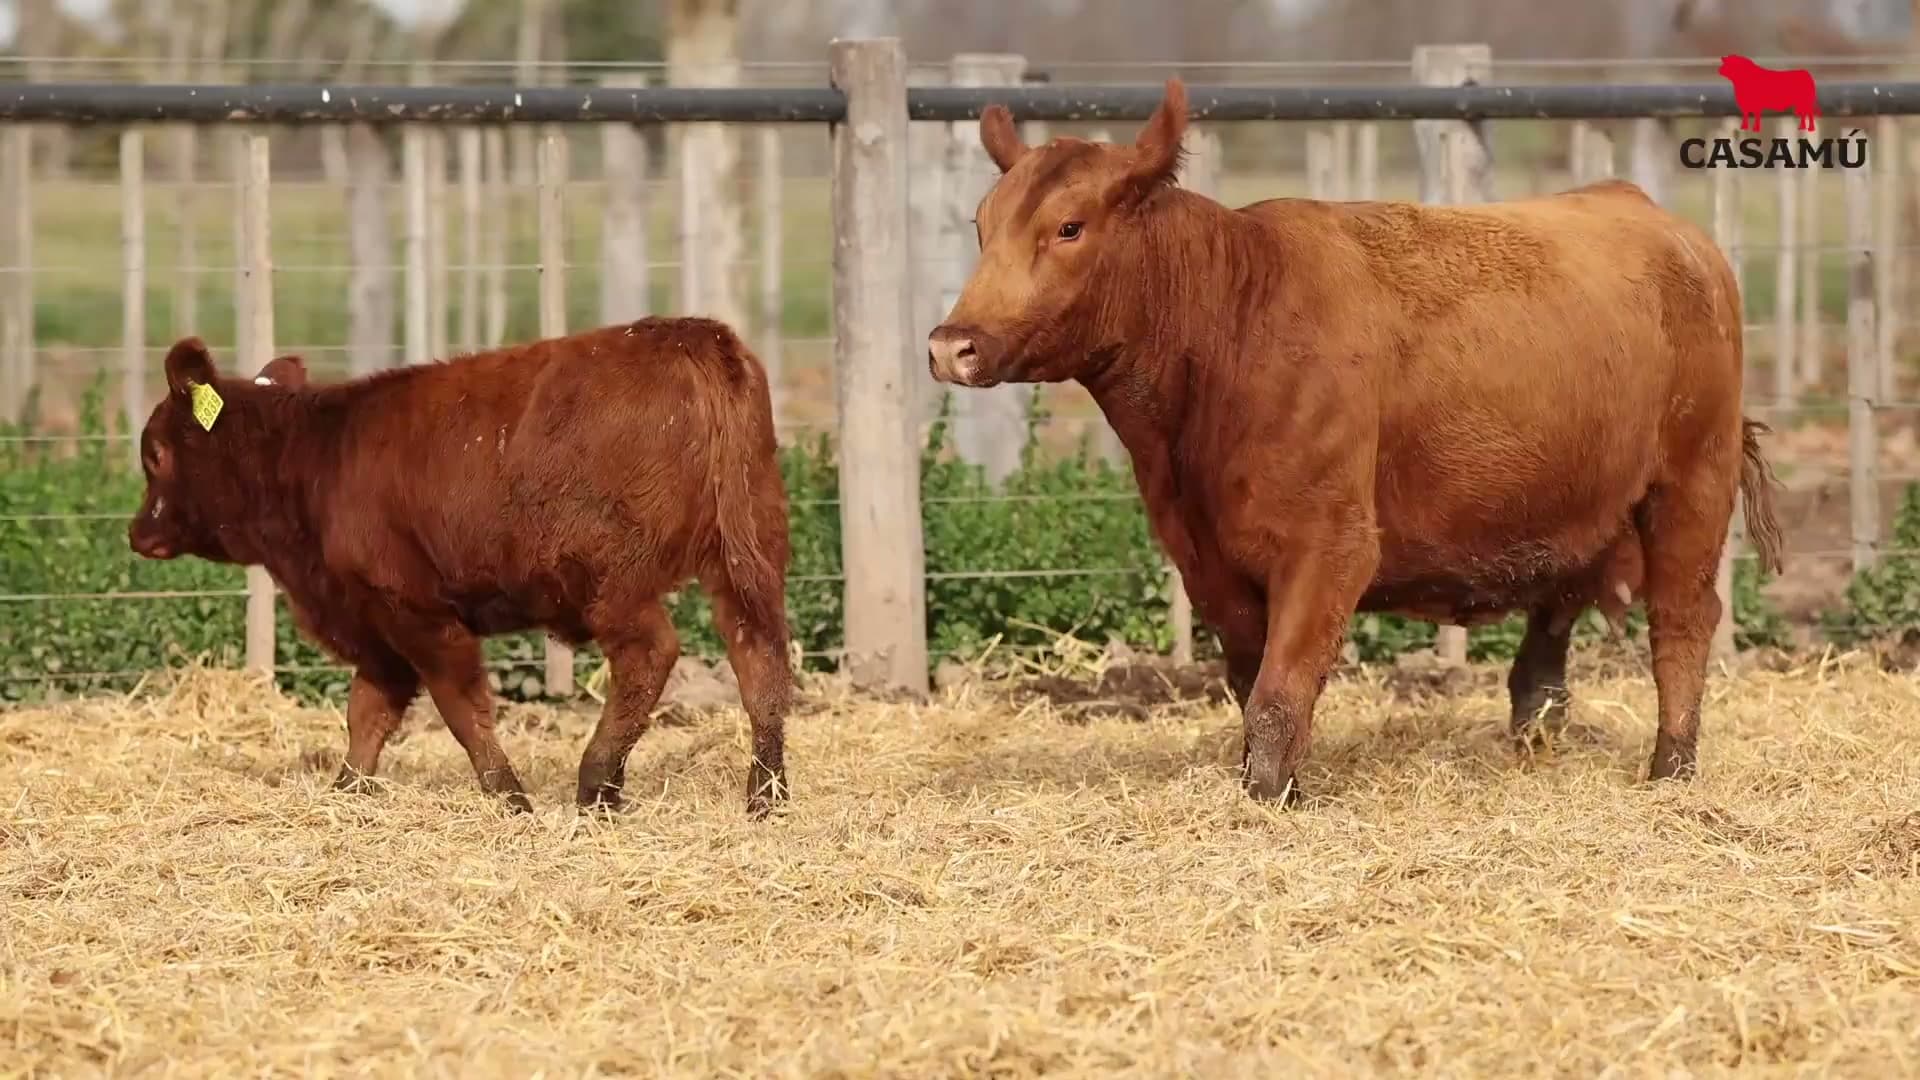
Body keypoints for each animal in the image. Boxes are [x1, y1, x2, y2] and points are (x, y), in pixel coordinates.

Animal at [127, 318, 793, 818]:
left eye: (154, 452)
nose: (137, 532)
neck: (316, 457)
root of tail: (690, 335)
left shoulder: (414, 610)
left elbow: (459, 708)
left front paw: (509, 797)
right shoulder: (376, 627)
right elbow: (367, 713)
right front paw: (347, 791)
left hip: (612, 582)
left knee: (649, 656)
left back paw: (597, 783)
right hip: (748, 553)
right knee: (758, 656)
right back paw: (765, 794)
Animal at [927, 79, 1785, 805]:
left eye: (1069, 227)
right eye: (981, 227)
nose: (950, 345)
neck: (1229, 329)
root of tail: (1658, 221)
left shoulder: (1330, 544)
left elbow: (1279, 693)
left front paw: (1266, 798)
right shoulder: (1207, 561)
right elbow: (1255, 685)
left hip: (1690, 481)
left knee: (1682, 619)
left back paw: (1671, 767)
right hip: (1570, 501)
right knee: (1546, 645)